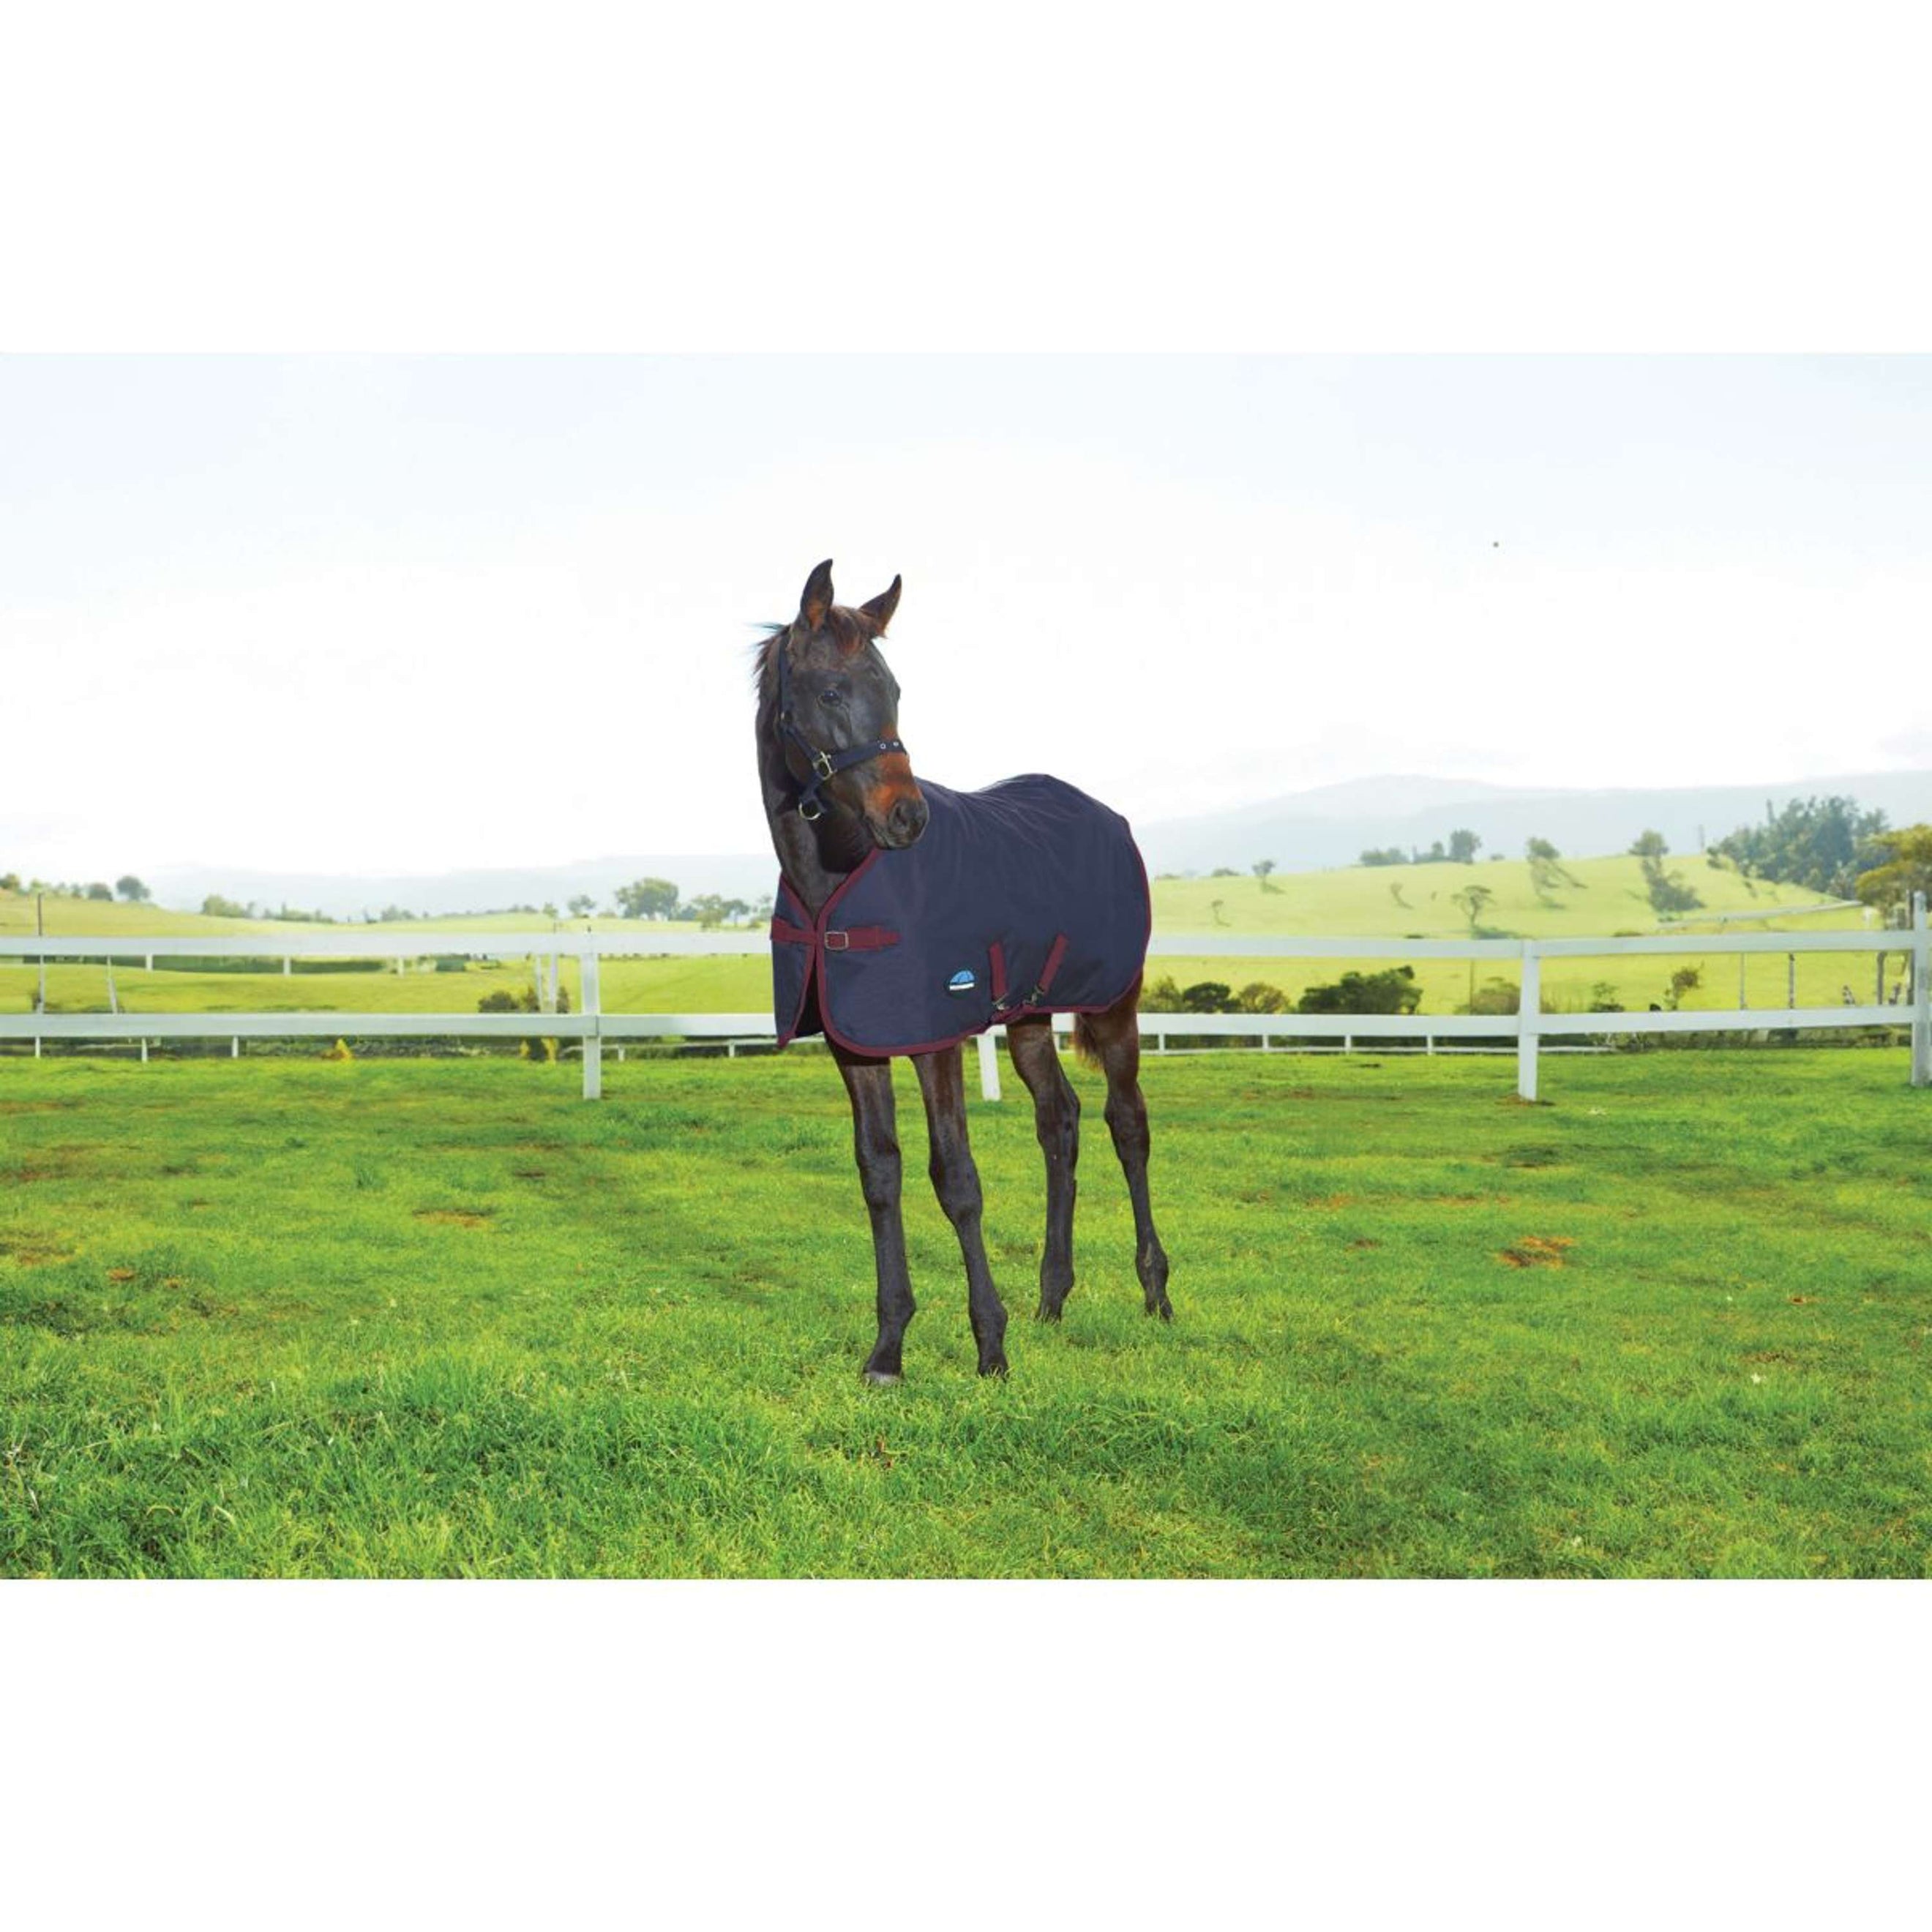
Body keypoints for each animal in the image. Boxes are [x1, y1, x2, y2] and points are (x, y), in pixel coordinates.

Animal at [752, 559, 1171, 1381]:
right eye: (831, 692)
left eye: (895, 690)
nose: (907, 818)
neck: (838, 880)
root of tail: (1108, 817)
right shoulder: (857, 1045)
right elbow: (879, 1174)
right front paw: (888, 1350)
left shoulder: (935, 1038)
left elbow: (956, 1178)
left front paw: (990, 1347)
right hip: (1032, 1015)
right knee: (1059, 1120)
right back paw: (1053, 1298)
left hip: (1114, 1005)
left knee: (1127, 1123)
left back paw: (1156, 1292)